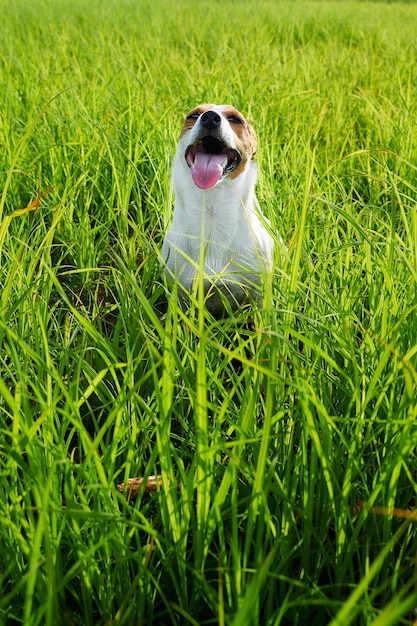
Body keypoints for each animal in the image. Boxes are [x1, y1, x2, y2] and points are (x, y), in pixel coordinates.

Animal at [161, 103, 274, 316]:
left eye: (236, 119)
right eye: (194, 115)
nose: (210, 118)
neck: (212, 209)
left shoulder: (258, 295)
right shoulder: (180, 294)